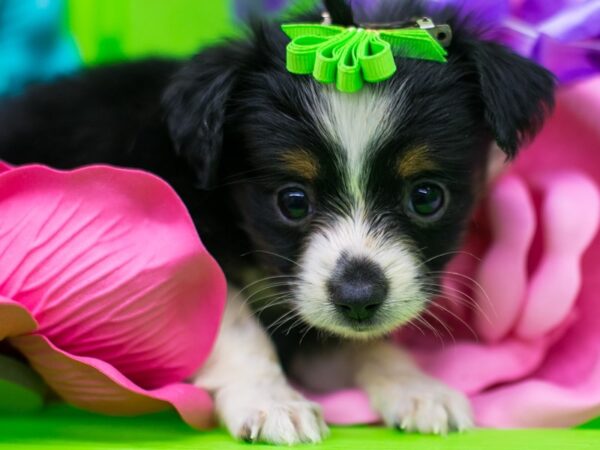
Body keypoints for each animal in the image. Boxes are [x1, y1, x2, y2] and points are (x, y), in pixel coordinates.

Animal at [0, 0, 552, 444]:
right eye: (292, 201)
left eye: (425, 197)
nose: (358, 298)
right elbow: (235, 322)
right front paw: (271, 400)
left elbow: (358, 344)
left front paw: (416, 387)